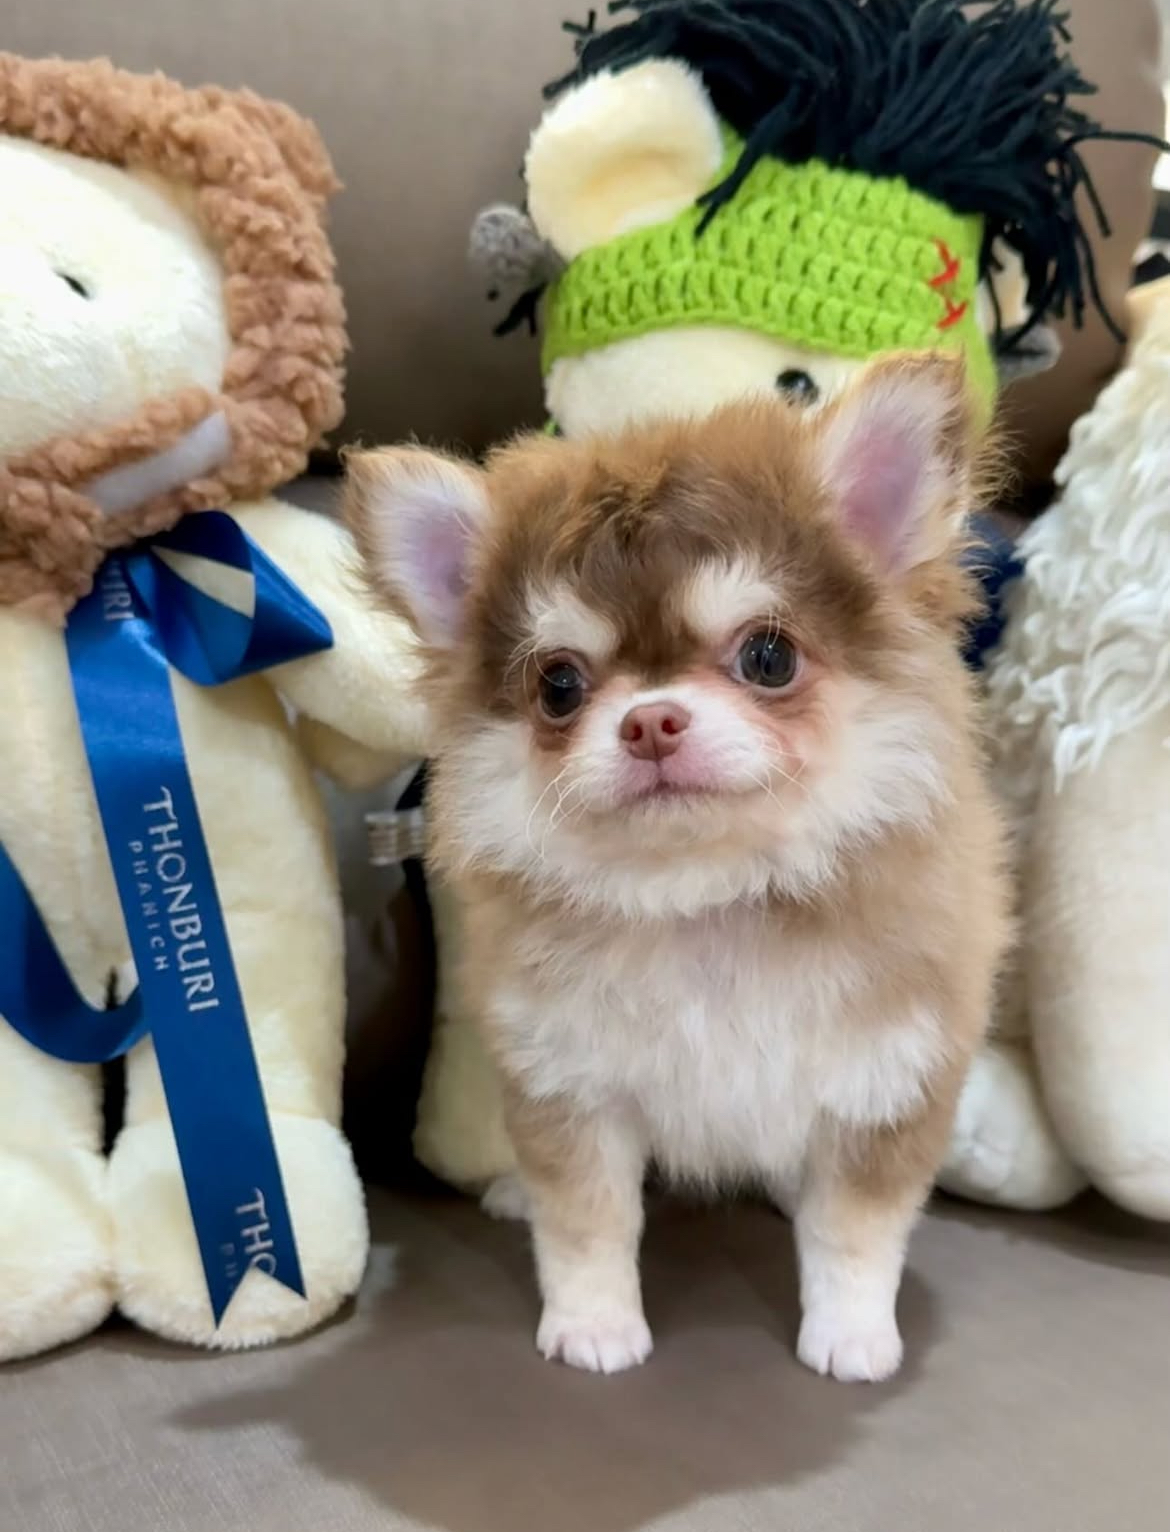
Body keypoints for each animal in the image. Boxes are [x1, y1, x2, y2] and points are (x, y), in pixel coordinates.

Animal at [345, 353, 1010, 1382]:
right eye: (559, 686)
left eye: (769, 656)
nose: (650, 720)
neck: (708, 901)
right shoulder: (569, 1089)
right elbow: (586, 1224)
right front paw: (593, 1327)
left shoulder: (887, 1085)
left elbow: (853, 1234)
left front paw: (852, 1335)